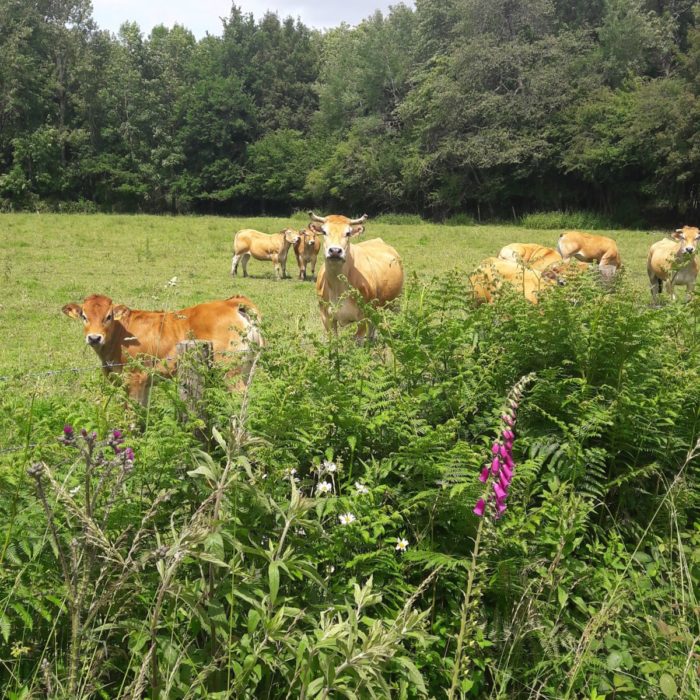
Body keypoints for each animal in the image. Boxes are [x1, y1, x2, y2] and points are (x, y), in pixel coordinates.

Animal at [60, 294, 262, 404]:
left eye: (108, 316)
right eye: (84, 316)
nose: (94, 337)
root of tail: (231, 303)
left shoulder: (135, 378)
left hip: (230, 372)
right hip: (247, 369)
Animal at [308, 209, 402, 340]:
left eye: (348, 233)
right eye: (324, 232)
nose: (335, 251)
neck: (337, 287)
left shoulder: (362, 316)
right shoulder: (326, 317)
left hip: (396, 301)